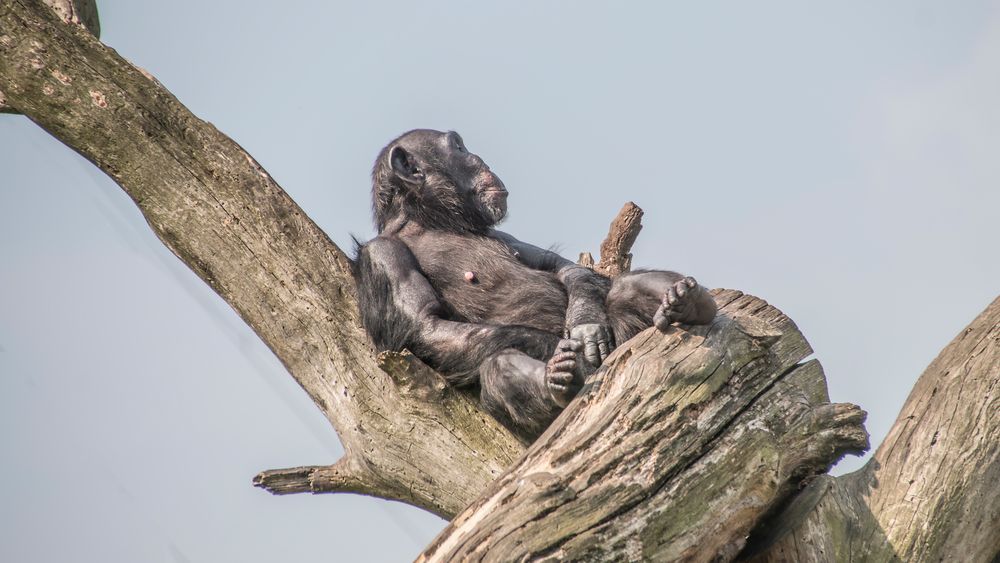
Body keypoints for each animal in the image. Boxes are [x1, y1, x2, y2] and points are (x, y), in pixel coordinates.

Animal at [356, 130, 716, 442]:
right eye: (457, 147)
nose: (478, 158)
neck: (429, 221)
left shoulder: (506, 236)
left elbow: (559, 266)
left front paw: (585, 324)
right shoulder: (382, 255)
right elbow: (425, 325)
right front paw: (567, 350)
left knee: (625, 288)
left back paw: (687, 301)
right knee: (499, 367)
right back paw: (559, 379)